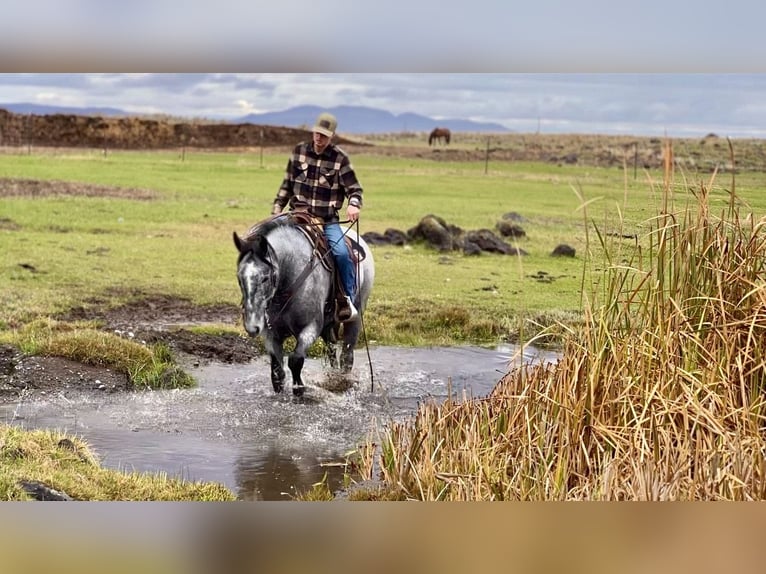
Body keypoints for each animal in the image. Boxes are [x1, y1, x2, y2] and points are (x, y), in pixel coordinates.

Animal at [233, 214, 375, 396]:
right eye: (239, 277)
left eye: (265, 278)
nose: (252, 327)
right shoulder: (271, 333)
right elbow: (277, 371)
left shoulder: (310, 328)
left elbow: (295, 360)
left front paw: (299, 388)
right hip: (328, 326)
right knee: (331, 350)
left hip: (355, 317)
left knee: (347, 355)